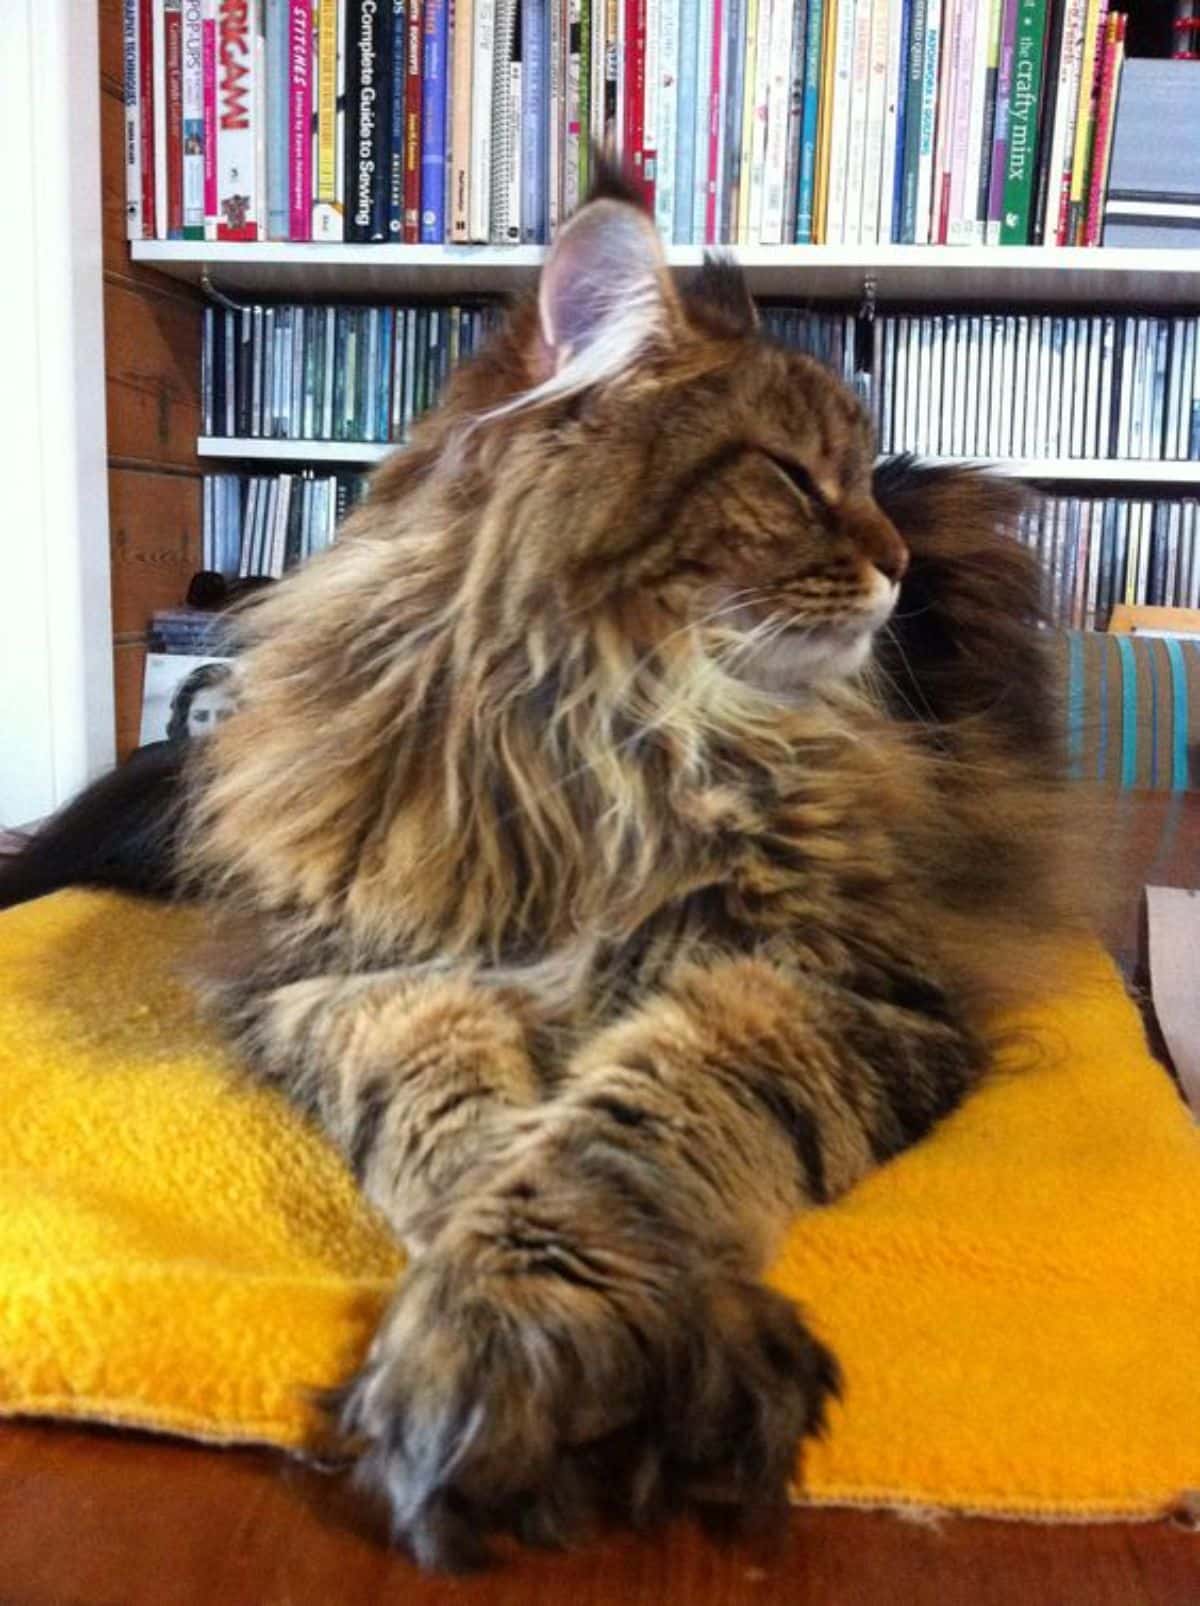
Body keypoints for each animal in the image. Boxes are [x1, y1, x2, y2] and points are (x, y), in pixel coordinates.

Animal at [4, 179, 1085, 1567]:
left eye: (851, 477)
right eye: (794, 478)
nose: (894, 564)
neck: (591, 739)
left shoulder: (833, 982)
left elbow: (630, 1127)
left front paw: (547, 1328)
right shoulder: (370, 974)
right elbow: (462, 1125)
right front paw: (509, 1319)